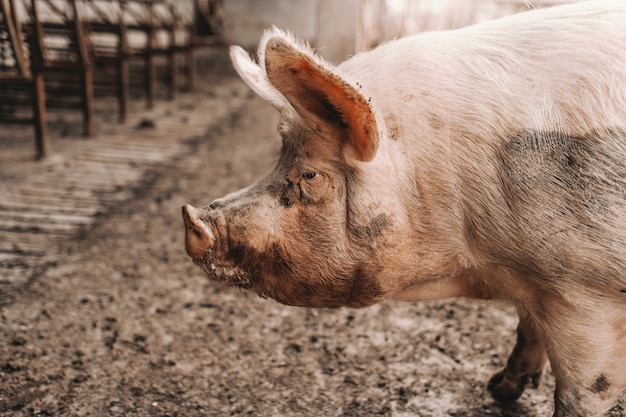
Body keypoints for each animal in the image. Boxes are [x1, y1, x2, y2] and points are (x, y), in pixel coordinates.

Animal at [180, 1, 624, 414]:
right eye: (278, 160)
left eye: (310, 175)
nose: (192, 218)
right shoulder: (537, 280)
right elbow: (527, 328)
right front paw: (498, 389)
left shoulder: (585, 292)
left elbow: (585, 392)